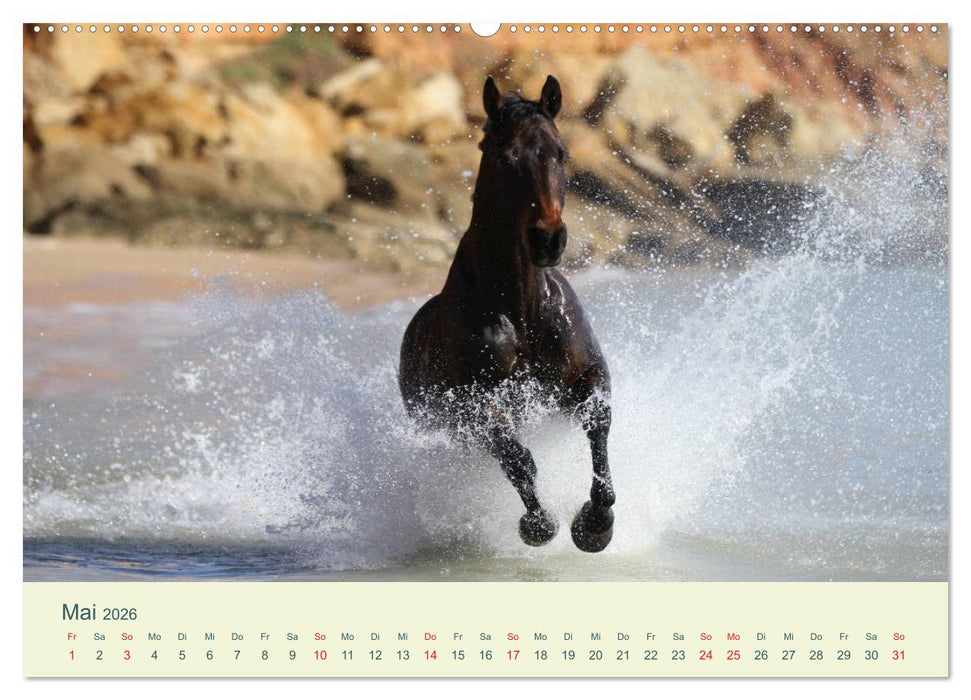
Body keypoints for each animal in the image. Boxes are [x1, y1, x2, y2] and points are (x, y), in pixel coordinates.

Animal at [399, 76, 615, 553]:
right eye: (505, 156)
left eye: (561, 152)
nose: (548, 239)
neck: (521, 312)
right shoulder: (474, 408)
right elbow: (518, 458)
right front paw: (540, 525)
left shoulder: (587, 375)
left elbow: (598, 425)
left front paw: (595, 523)